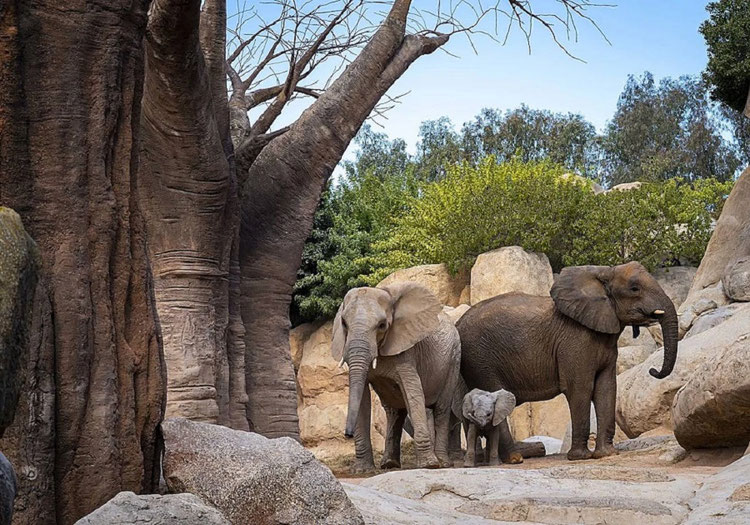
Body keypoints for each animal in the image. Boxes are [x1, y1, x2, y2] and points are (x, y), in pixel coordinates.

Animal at [332, 282, 461, 472]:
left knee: (441, 409)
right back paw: (389, 464)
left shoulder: (407, 350)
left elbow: (413, 392)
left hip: (454, 359)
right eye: (344, 323)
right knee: (394, 413)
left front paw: (429, 465)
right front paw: (362, 470)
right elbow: (362, 398)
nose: (347, 434)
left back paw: (443, 463)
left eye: (382, 325)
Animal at [458, 262, 679, 462]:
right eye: (634, 288)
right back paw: (514, 458)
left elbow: (606, 388)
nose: (653, 371)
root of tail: (457, 324)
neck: (604, 272)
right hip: (479, 359)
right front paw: (580, 457)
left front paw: (606, 454)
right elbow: (580, 388)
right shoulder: (575, 341)